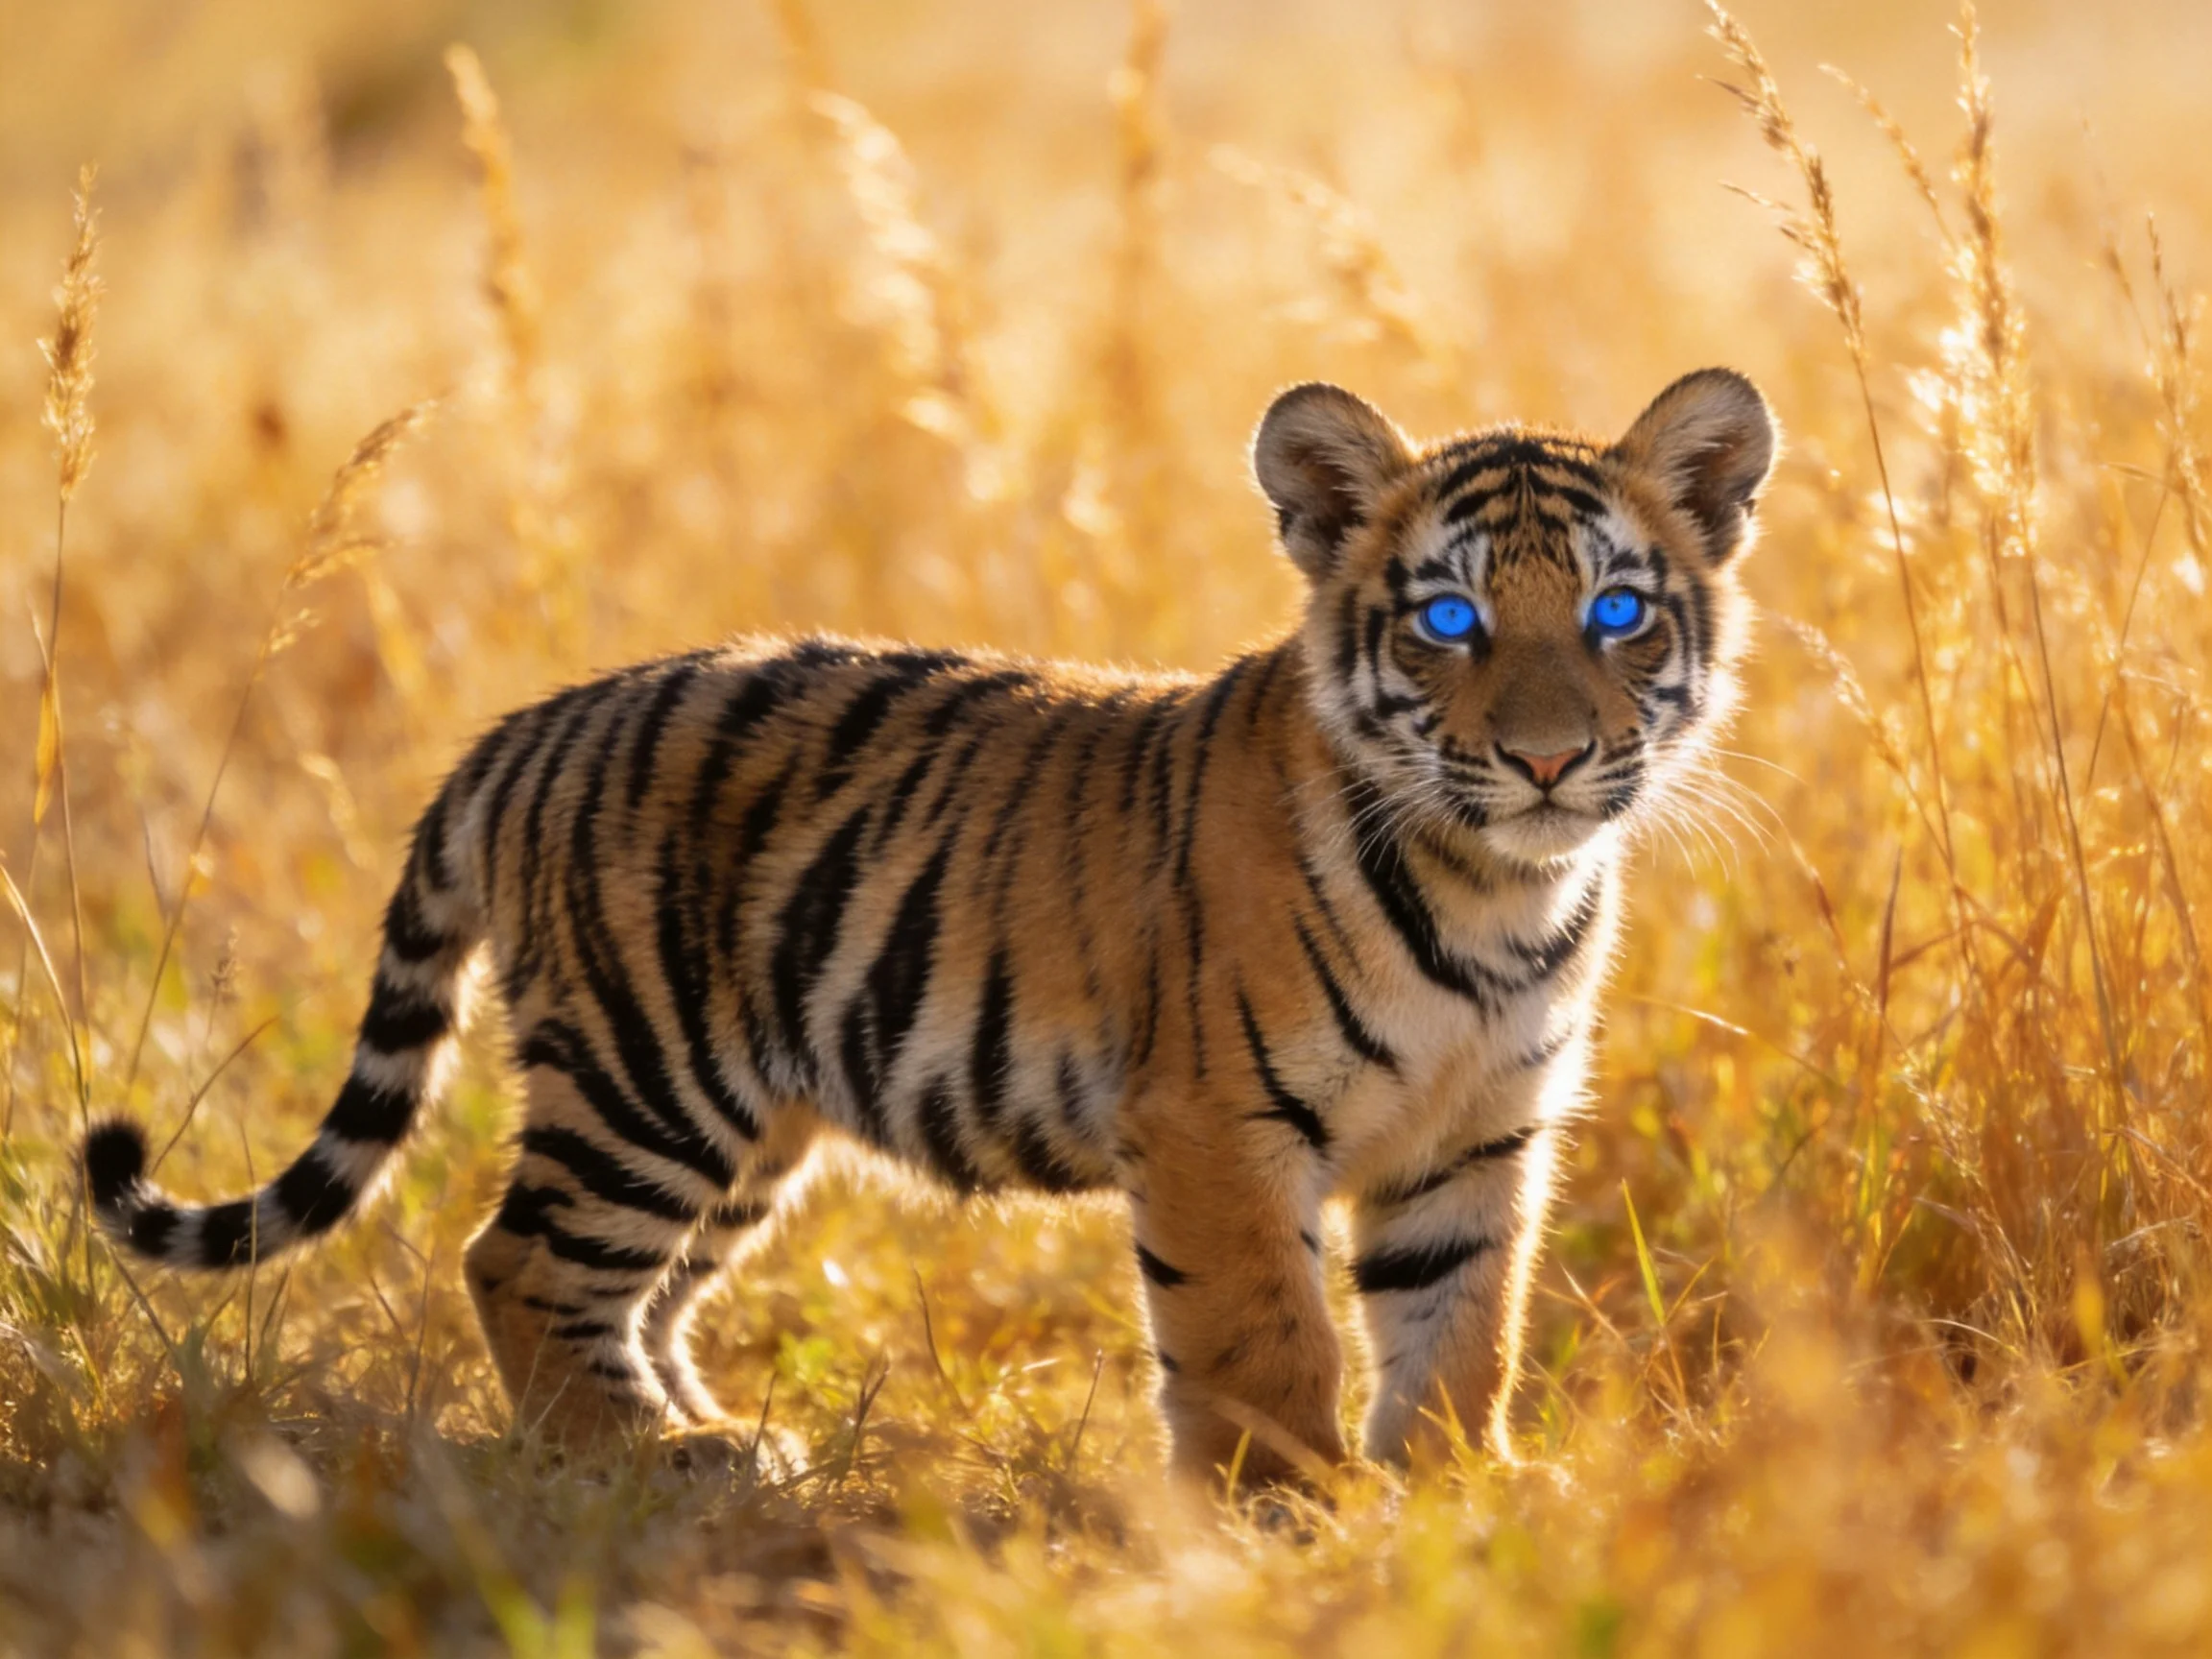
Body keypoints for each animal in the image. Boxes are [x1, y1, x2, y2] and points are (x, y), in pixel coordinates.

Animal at [84, 368, 1775, 1487]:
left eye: (1618, 613)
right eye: (1448, 621)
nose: (1548, 758)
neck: (1501, 893)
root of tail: (520, 729)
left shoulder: (1478, 1136)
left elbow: (1464, 1326)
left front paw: (1459, 1492)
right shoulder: (1217, 1129)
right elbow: (1265, 1341)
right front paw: (1295, 1516)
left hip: (746, 1124)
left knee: (642, 1286)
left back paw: (710, 1436)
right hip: (646, 1081)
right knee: (517, 1261)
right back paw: (629, 1460)